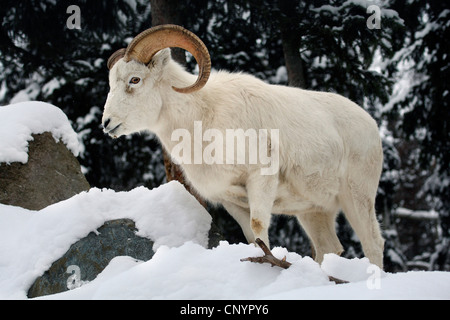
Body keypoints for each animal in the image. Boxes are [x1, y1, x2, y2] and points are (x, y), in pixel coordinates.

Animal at [103, 24, 384, 268]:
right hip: (314, 211)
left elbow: (260, 228)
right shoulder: (231, 200)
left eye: (135, 80)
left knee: (373, 243)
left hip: (357, 198)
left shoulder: (260, 180)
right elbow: (251, 237)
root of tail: (371, 125)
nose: (107, 123)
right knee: (329, 248)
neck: (204, 119)